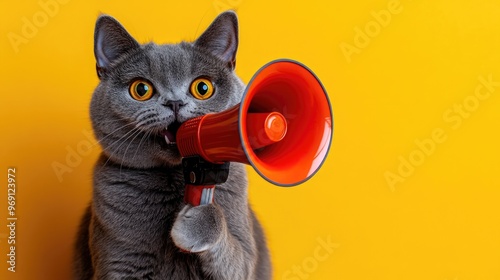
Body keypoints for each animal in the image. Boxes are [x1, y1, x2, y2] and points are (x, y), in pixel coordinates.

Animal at [72, 11, 272, 280]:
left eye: (202, 87)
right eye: (141, 89)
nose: (175, 102)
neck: (174, 177)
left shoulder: (245, 260)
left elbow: (232, 253)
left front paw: (192, 224)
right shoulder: (118, 261)